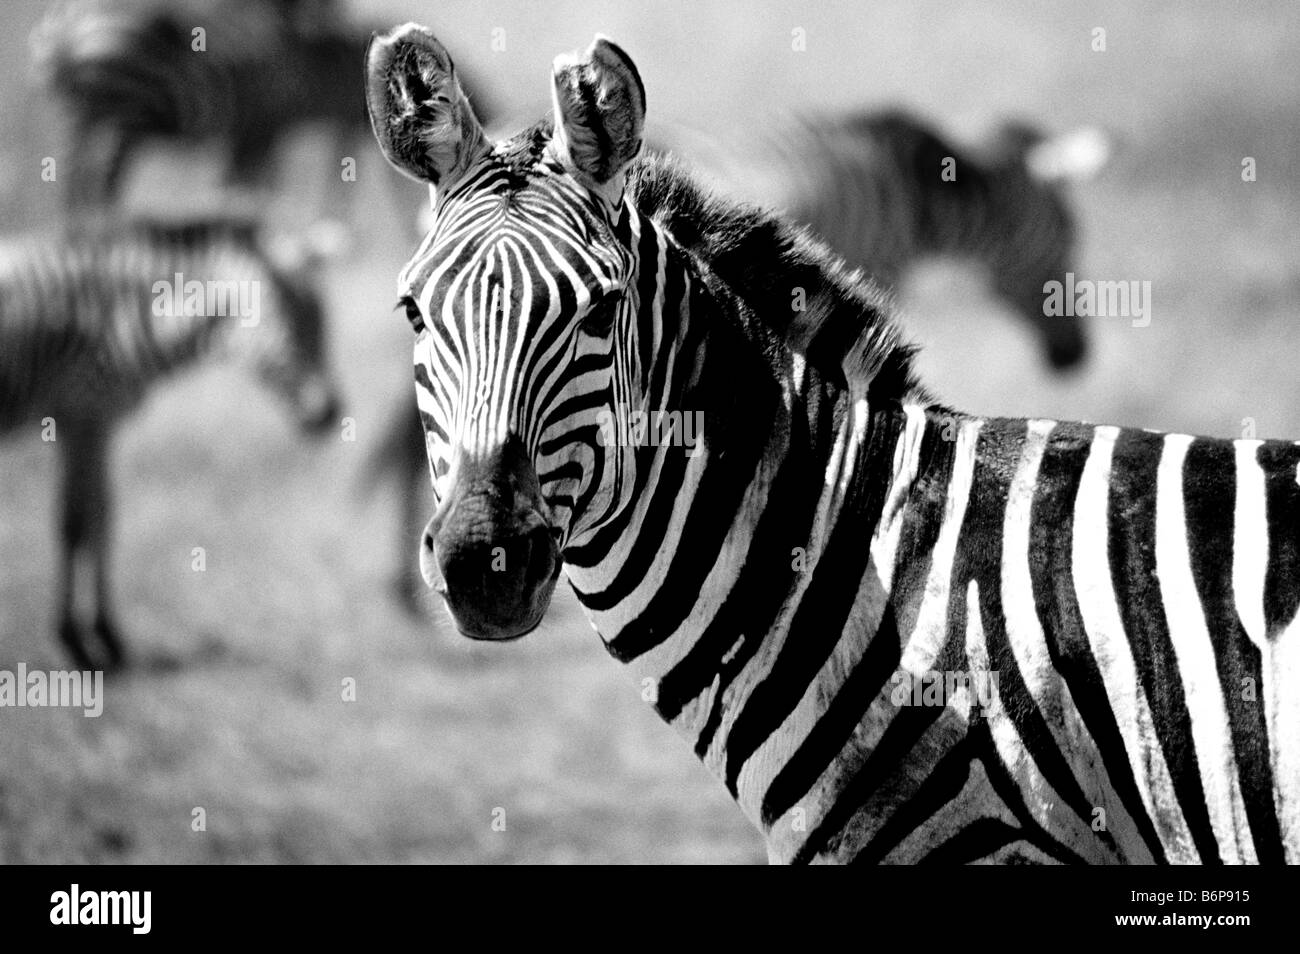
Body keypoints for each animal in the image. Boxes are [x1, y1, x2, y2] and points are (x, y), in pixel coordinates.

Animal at [0, 217, 340, 670]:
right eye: (290, 320)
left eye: (323, 323)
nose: (331, 412)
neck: (119, 315)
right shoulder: (81, 416)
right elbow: (74, 524)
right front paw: (74, 642)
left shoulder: (99, 422)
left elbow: (103, 518)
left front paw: (108, 636)